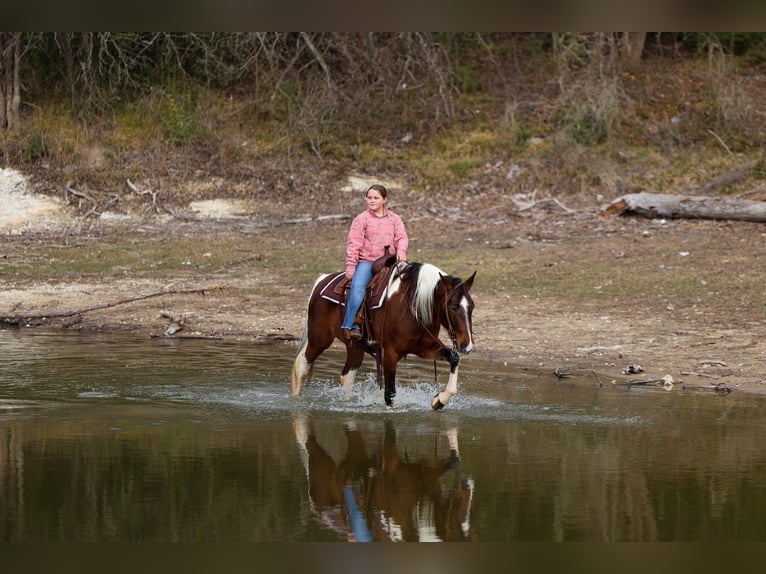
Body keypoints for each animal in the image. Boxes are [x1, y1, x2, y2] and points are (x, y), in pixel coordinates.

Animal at [290, 260, 476, 409]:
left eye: (472, 306)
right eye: (453, 306)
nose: (467, 345)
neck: (412, 306)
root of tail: (322, 280)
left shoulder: (425, 348)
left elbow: (453, 358)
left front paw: (439, 400)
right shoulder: (390, 354)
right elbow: (390, 393)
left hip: (354, 346)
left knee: (347, 377)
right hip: (320, 338)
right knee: (301, 364)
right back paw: (296, 401)